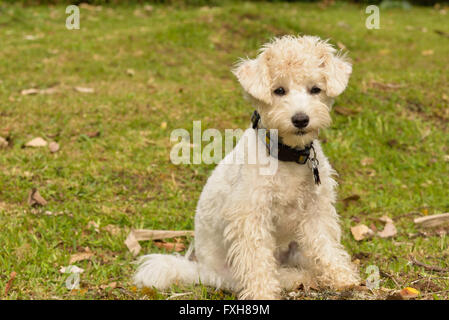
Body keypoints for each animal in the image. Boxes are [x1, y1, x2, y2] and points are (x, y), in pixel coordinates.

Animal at [134, 35, 360, 300]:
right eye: (279, 90)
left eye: (315, 89)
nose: (300, 119)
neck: (285, 156)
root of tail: (201, 270)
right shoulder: (250, 217)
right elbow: (257, 262)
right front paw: (262, 294)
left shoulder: (316, 211)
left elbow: (326, 246)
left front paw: (343, 277)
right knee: (276, 273)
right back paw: (297, 278)